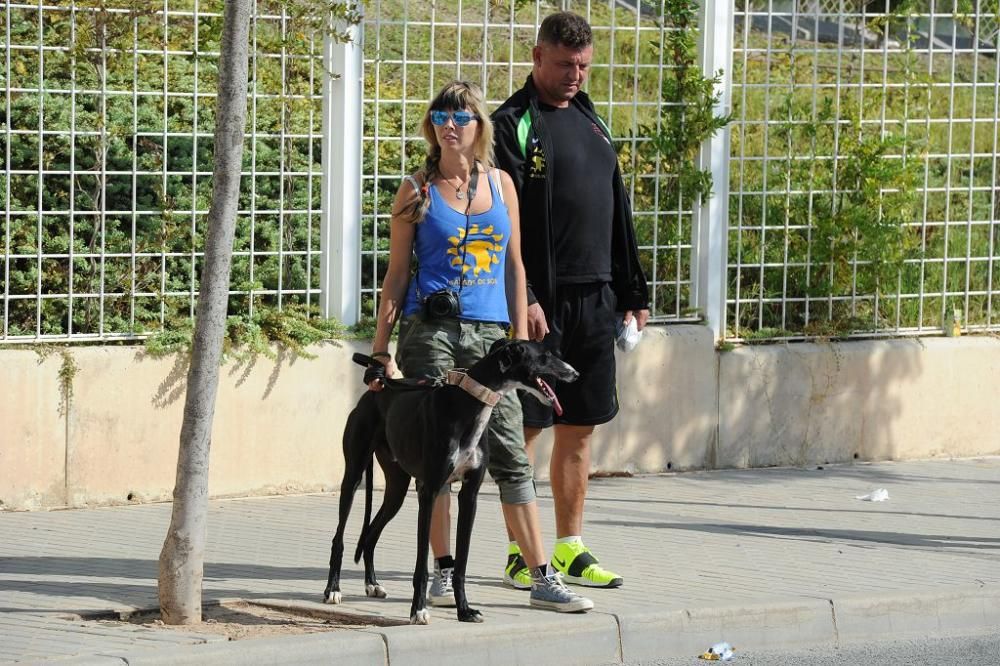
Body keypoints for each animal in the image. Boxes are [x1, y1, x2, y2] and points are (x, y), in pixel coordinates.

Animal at [326, 338, 580, 624]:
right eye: (545, 356)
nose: (575, 374)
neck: (468, 402)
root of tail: (376, 387)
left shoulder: (470, 496)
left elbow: (462, 563)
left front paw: (465, 610)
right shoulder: (429, 491)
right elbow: (421, 565)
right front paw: (418, 610)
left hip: (397, 487)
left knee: (370, 535)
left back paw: (372, 584)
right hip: (354, 474)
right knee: (339, 537)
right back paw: (333, 589)